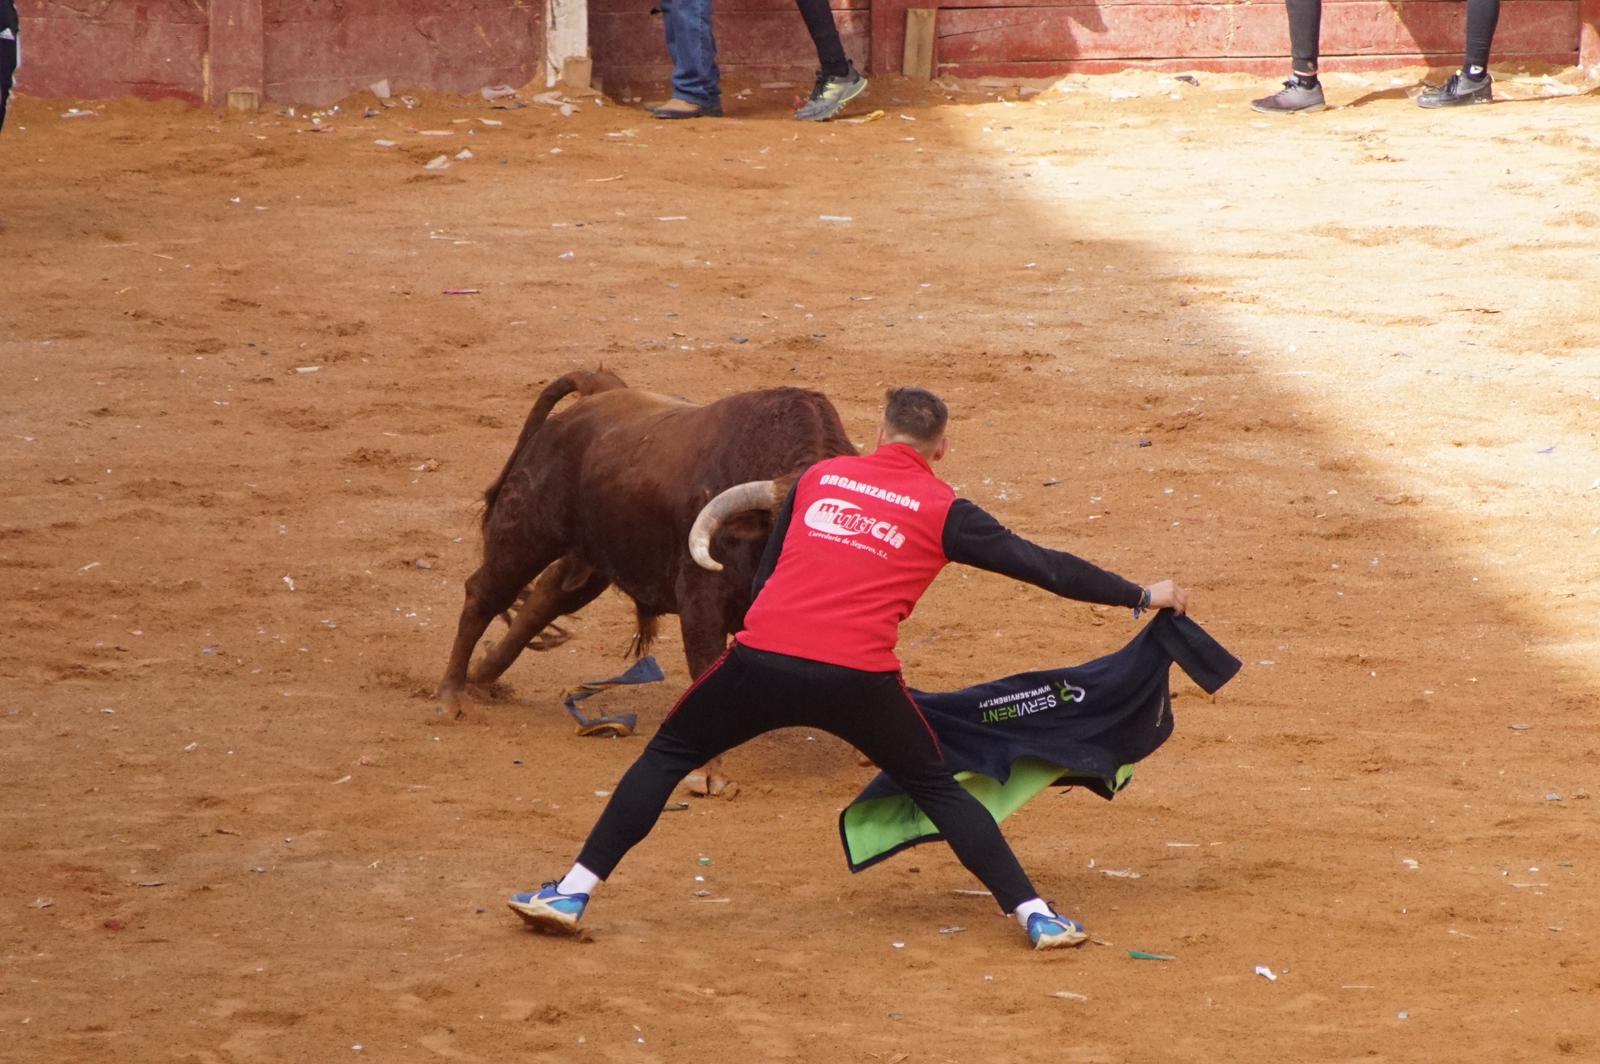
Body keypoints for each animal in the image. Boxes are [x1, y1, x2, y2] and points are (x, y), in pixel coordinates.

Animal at [438, 369, 857, 793]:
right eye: (786, 533)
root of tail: (598, 391)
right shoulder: (700, 602)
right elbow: (704, 669)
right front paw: (710, 774)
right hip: (526, 535)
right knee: (483, 594)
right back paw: (452, 696)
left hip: (590, 560)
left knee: (546, 598)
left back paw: (481, 678)